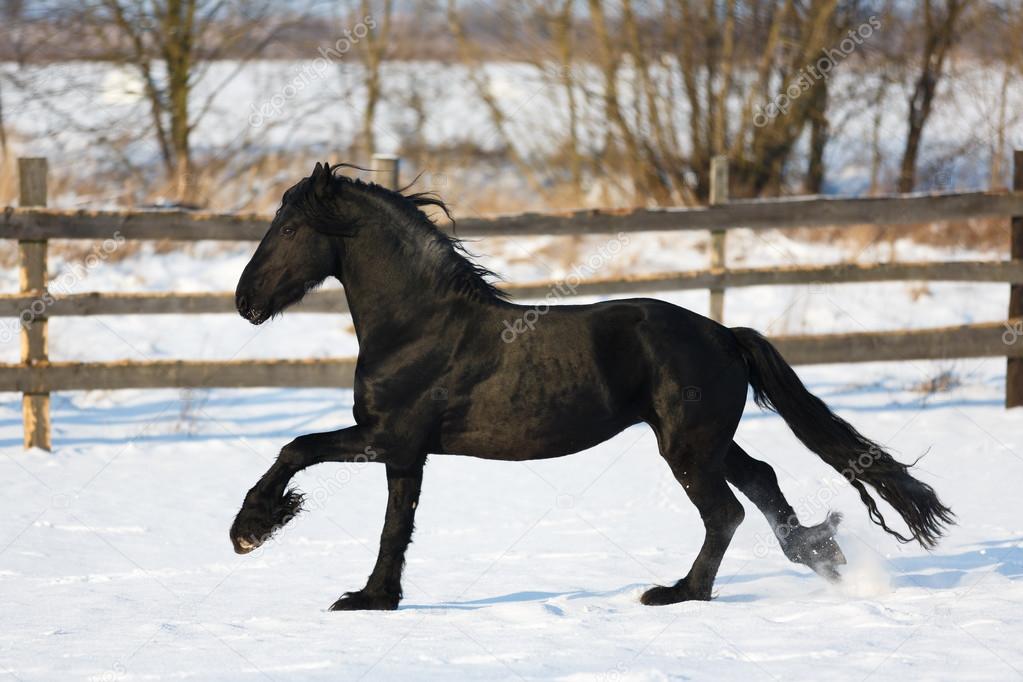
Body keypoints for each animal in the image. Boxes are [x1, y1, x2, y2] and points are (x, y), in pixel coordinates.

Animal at [228, 162, 953, 609]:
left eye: (290, 228)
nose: (245, 301)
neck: (418, 324)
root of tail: (725, 335)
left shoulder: (389, 437)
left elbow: (299, 449)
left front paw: (251, 530)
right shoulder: (408, 453)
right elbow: (395, 526)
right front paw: (373, 599)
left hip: (685, 447)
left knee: (726, 511)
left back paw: (677, 593)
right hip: (706, 440)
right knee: (762, 480)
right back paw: (819, 555)